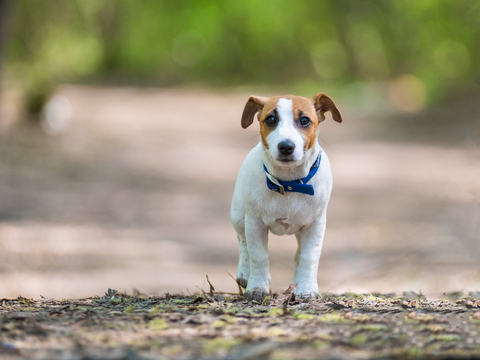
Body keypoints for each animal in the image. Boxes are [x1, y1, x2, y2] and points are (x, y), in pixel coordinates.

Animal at [232, 92, 342, 300]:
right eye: (271, 119)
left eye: (305, 120)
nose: (286, 146)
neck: (289, 183)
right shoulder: (255, 223)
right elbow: (257, 255)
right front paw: (256, 287)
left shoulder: (315, 225)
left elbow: (308, 257)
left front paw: (306, 289)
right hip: (238, 215)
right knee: (242, 241)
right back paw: (244, 273)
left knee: (299, 254)